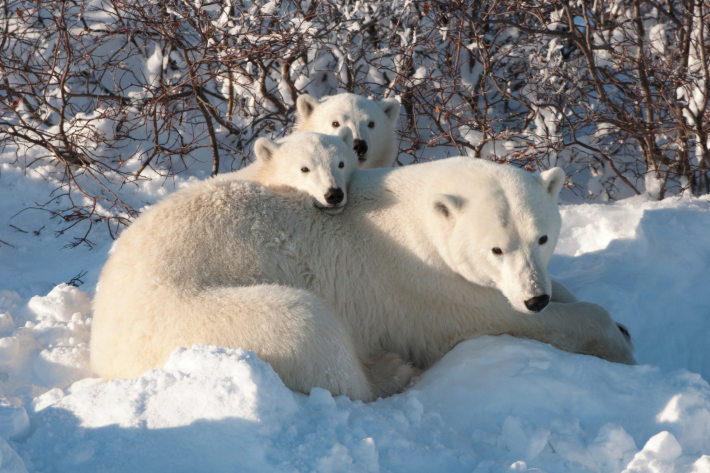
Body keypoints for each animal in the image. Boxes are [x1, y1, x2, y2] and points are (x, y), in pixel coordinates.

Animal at [90, 158, 635, 402]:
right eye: (496, 248)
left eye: (542, 236)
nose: (535, 297)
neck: (414, 214)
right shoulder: (419, 285)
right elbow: (488, 318)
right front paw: (617, 338)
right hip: (193, 318)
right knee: (308, 329)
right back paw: (390, 370)